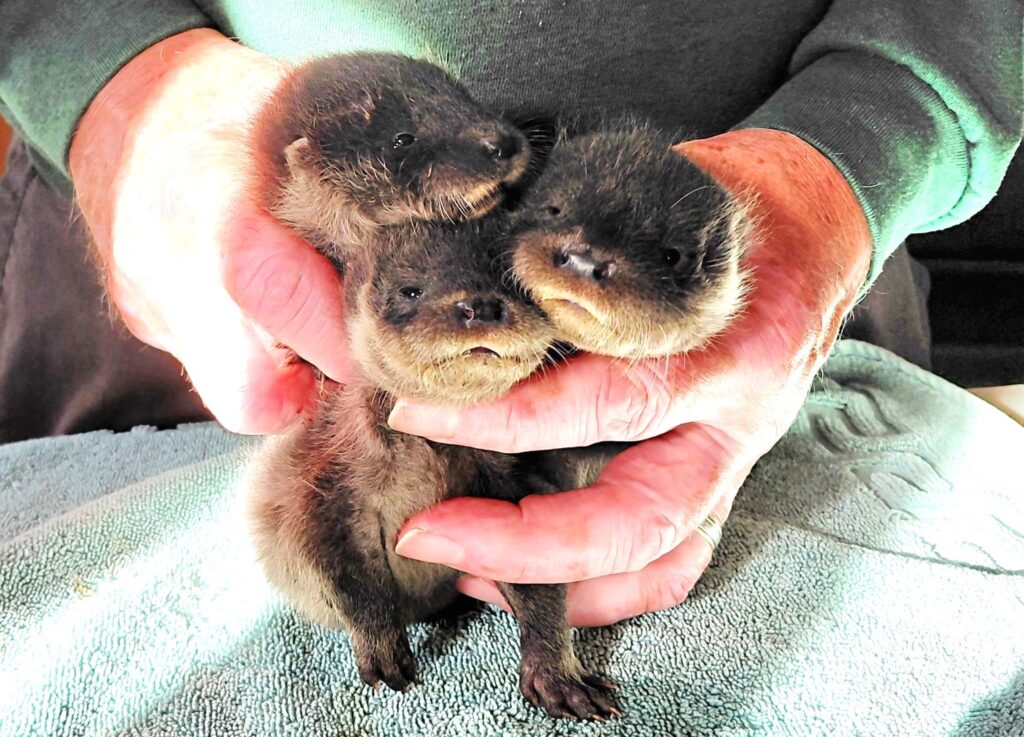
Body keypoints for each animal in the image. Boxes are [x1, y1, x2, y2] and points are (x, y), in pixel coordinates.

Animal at [247, 219, 619, 720]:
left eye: (514, 283)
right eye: (411, 290)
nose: (479, 306)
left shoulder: (507, 483)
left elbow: (539, 586)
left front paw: (557, 674)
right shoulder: (321, 491)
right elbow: (347, 577)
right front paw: (381, 647)